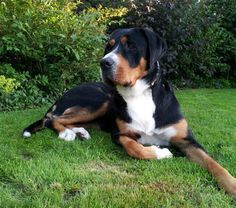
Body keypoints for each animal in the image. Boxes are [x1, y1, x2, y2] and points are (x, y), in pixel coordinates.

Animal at [23, 28, 236, 197]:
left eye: (131, 46)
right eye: (108, 47)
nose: (104, 63)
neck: (138, 94)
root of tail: (63, 95)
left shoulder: (186, 140)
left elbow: (214, 164)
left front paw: (232, 185)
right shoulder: (120, 134)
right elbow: (134, 148)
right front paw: (159, 153)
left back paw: (80, 132)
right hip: (100, 100)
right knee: (52, 118)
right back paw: (67, 133)